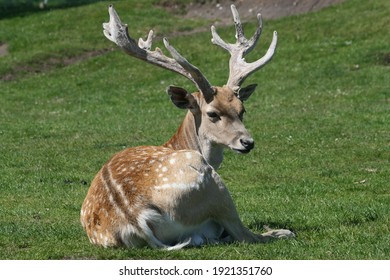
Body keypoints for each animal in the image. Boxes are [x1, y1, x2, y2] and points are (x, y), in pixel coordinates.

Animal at [80, 3, 294, 249]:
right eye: (212, 113)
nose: (247, 142)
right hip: (212, 184)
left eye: (242, 110)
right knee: (244, 235)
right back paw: (281, 232)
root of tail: (137, 218)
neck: (178, 143)